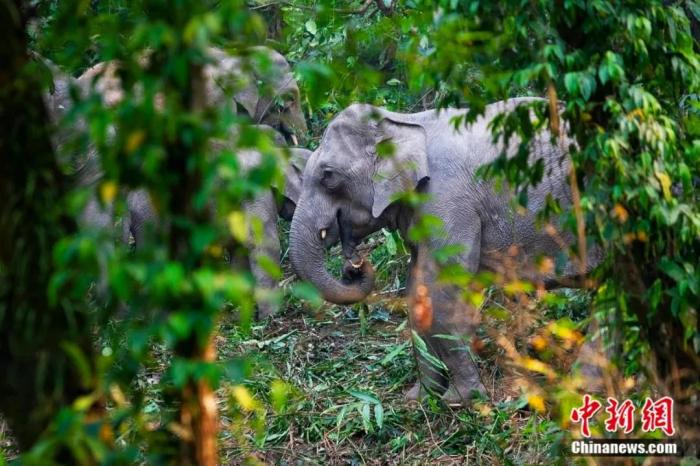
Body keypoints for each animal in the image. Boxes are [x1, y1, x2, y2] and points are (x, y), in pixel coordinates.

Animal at [288, 98, 600, 404]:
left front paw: (460, 399)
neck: (404, 122)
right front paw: (420, 398)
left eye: (328, 176)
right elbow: (417, 291)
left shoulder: (448, 203)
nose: (354, 264)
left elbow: (441, 293)